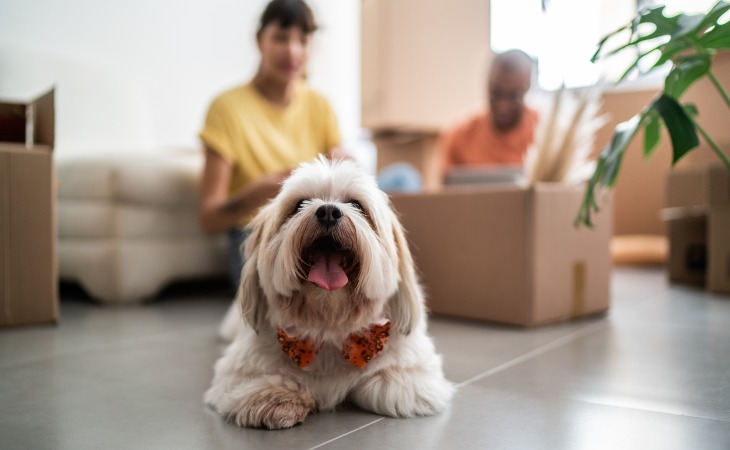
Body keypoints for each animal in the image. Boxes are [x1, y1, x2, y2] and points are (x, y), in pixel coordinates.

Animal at [205, 156, 452, 428]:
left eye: (356, 204)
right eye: (299, 205)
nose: (328, 211)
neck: (329, 326)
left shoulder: (411, 375)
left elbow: (384, 383)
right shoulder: (241, 369)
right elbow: (262, 382)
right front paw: (279, 396)